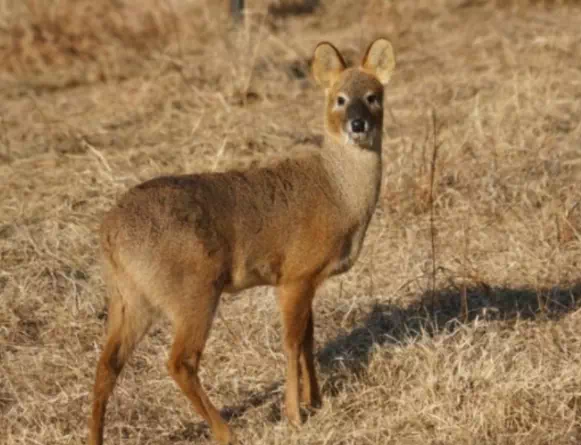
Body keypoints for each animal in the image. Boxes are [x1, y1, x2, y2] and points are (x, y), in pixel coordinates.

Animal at [89, 38, 394, 444]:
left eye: (374, 96)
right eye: (340, 99)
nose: (357, 124)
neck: (338, 192)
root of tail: (110, 234)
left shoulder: (307, 280)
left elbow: (308, 340)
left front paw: (315, 401)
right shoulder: (295, 275)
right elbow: (291, 343)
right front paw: (295, 415)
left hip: (130, 299)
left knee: (108, 363)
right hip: (193, 290)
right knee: (180, 361)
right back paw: (225, 430)